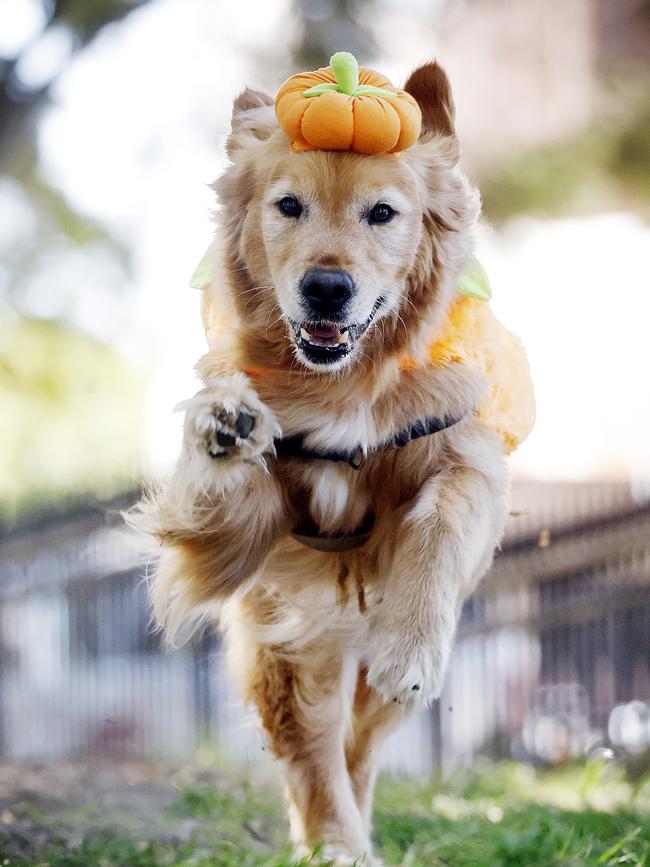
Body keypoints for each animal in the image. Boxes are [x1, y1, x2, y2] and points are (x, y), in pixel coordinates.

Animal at [129, 62, 528, 867]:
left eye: (382, 212)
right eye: (289, 205)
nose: (326, 287)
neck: (342, 382)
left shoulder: (468, 455)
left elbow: (441, 516)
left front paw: (411, 650)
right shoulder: (250, 549)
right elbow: (228, 500)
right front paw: (224, 425)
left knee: (360, 746)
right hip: (290, 637)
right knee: (314, 747)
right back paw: (334, 843)